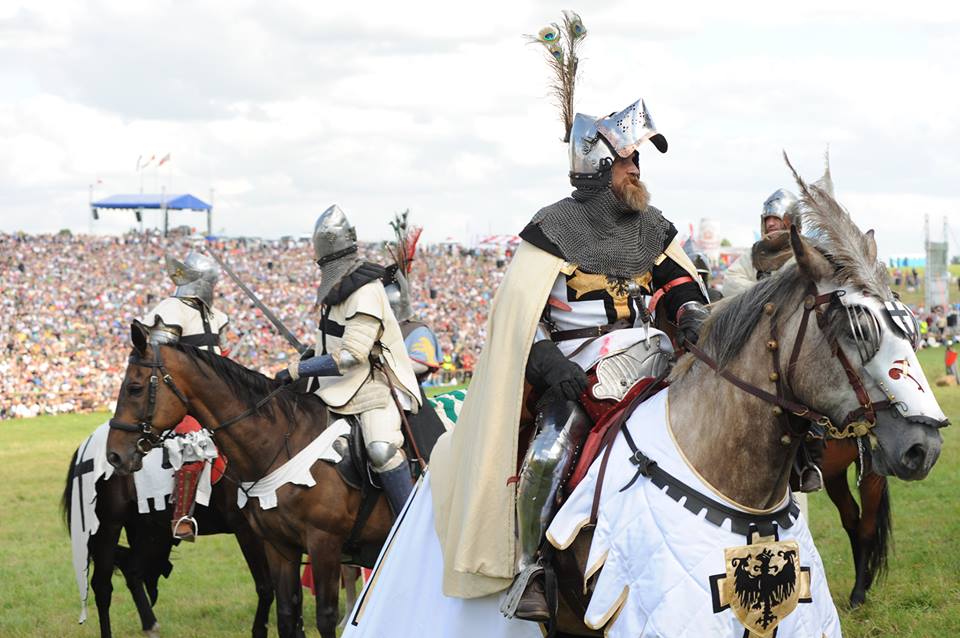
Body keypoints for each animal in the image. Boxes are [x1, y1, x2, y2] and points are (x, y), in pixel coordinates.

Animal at [102, 338, 394, 636]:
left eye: (134, 388)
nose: (115, 455)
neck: (283, 442)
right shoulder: (278, 544)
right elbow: (285, 609)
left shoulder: (321, 543)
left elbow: (315, 613)